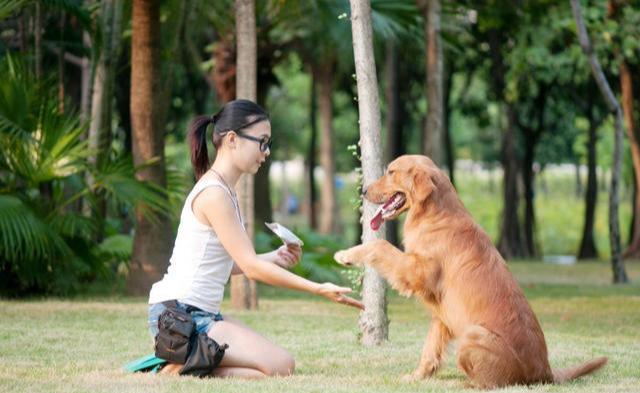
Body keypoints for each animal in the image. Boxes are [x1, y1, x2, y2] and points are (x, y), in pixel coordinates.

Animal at [332, 155, 608, 388]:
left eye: (391, 172)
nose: (364, 190)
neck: (434, 213)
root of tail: (545, 372)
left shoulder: (417, 271)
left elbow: (380, 245)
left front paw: (345, 255)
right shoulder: (442, 315)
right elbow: (429, 351)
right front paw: (417, 376)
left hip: (473, 334)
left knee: (490, 384)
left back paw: (461, 383)